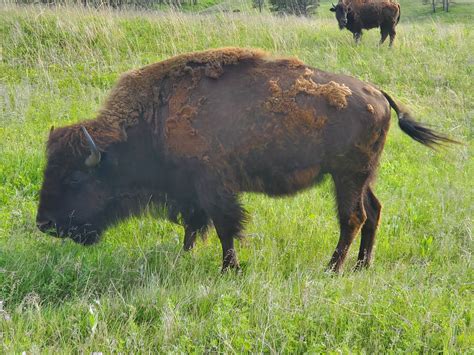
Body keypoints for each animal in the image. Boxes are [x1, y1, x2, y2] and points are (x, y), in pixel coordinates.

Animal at [36, 48, 456, 274]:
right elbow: (193, 225)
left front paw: (229, 268)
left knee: (353, 218)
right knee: (374, 211)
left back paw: (332, 269)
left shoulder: (214, 187)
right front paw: (185, 256)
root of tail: (378, 93)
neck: (155, 117)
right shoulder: (192, 192)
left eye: (75, 180)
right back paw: (360, 266)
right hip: (362, 175)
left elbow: (225, 227)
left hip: (346, 175)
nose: (44, 224)